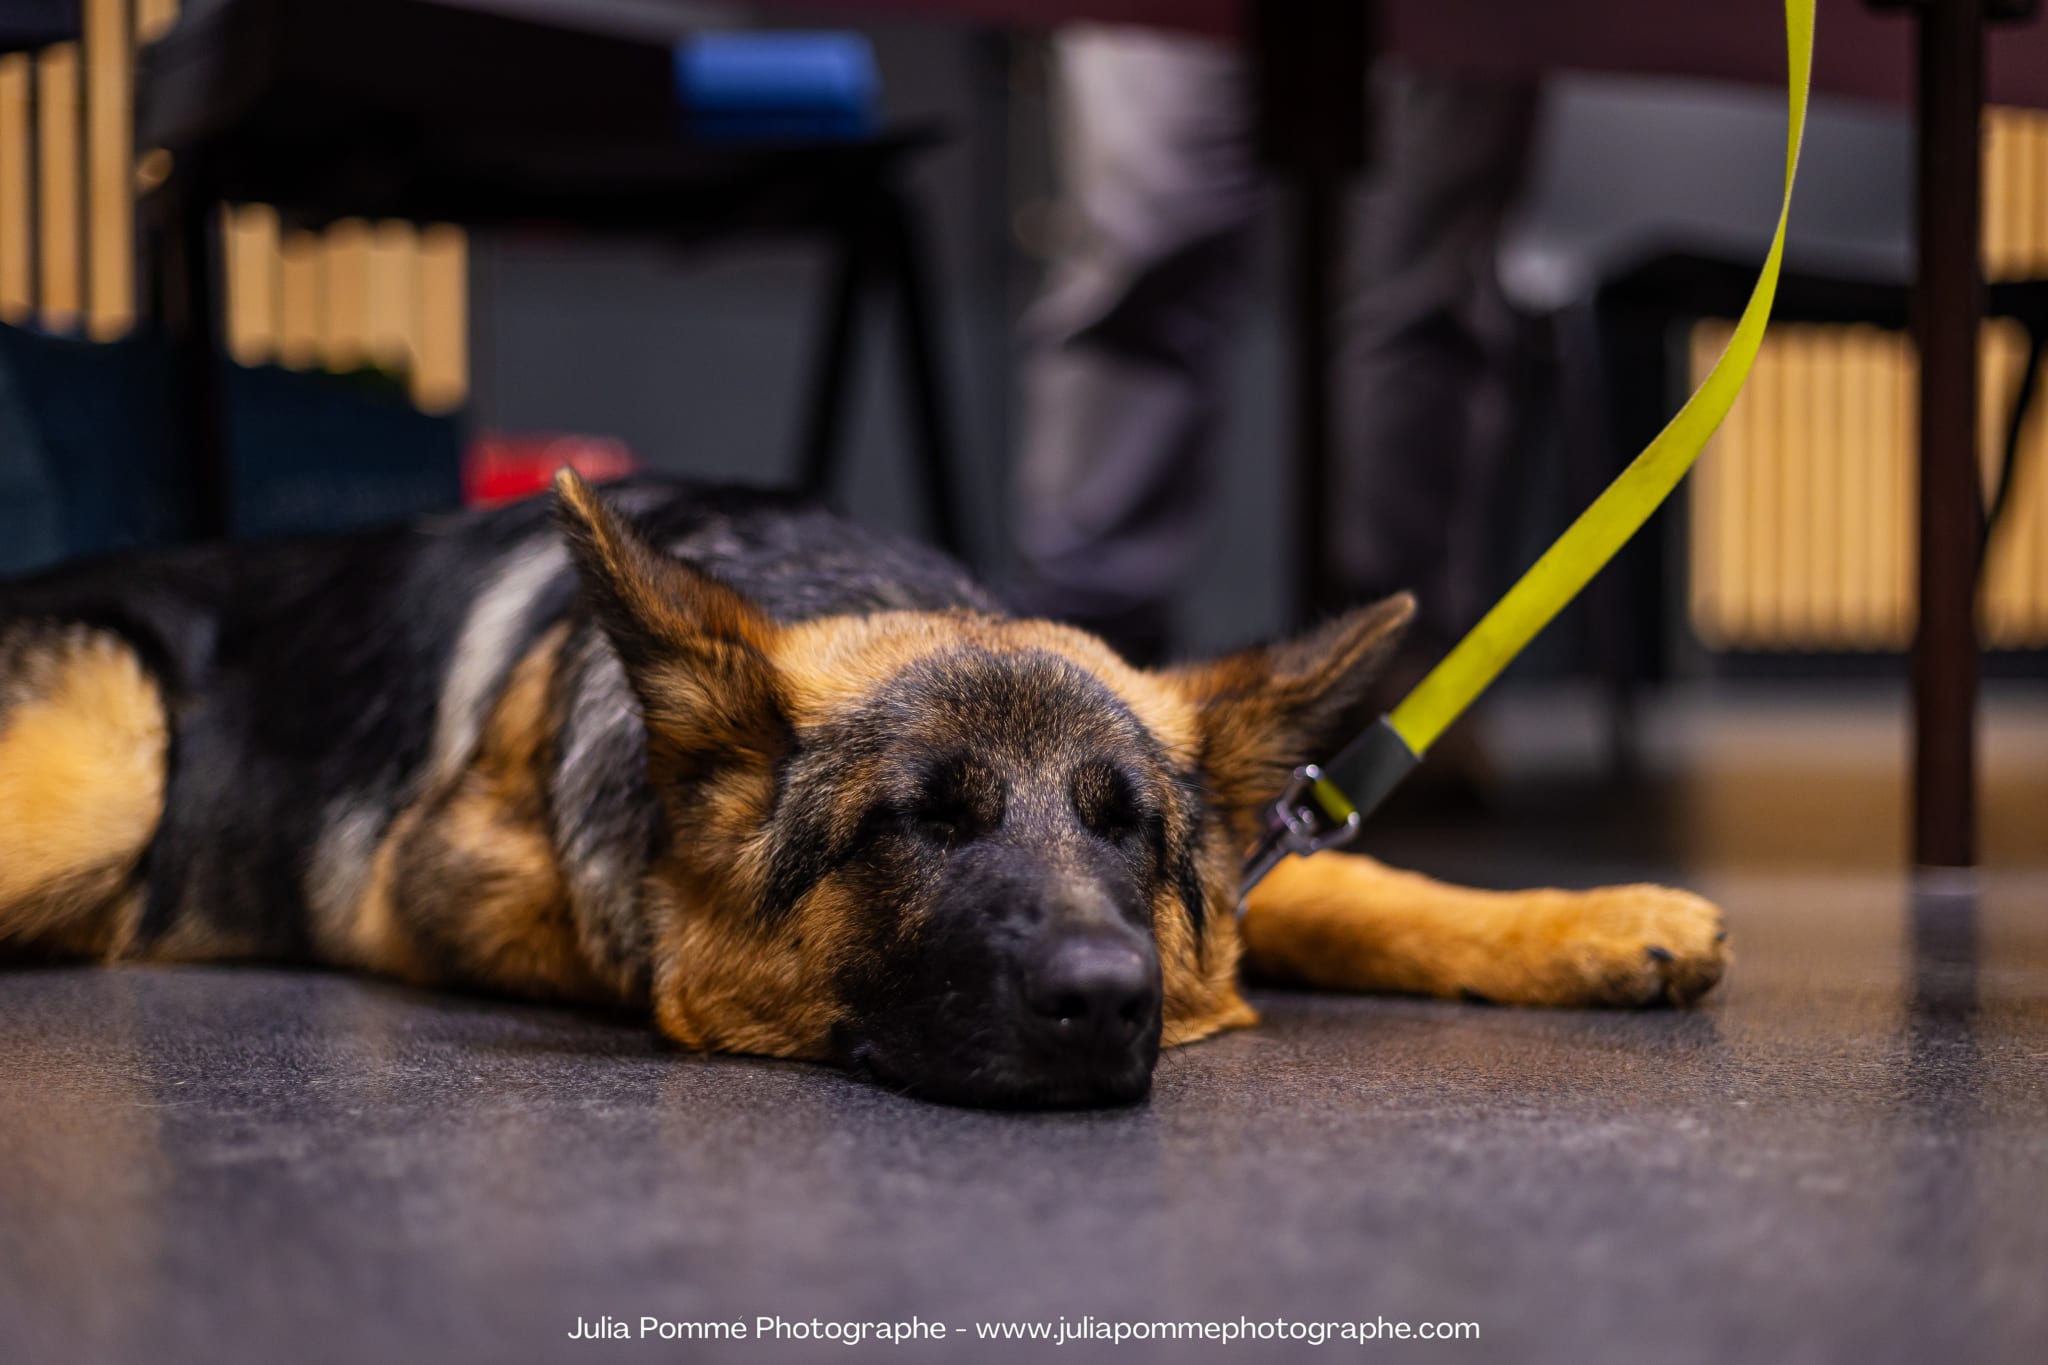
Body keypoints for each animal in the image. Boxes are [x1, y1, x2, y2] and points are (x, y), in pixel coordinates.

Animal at [0, 474, 1728, 1105]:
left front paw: (1591, 921)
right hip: (107, 772)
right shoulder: (457, 877)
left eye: (1129, 830)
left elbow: (1351, 884)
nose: (1110, 1001)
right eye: (920, 822)